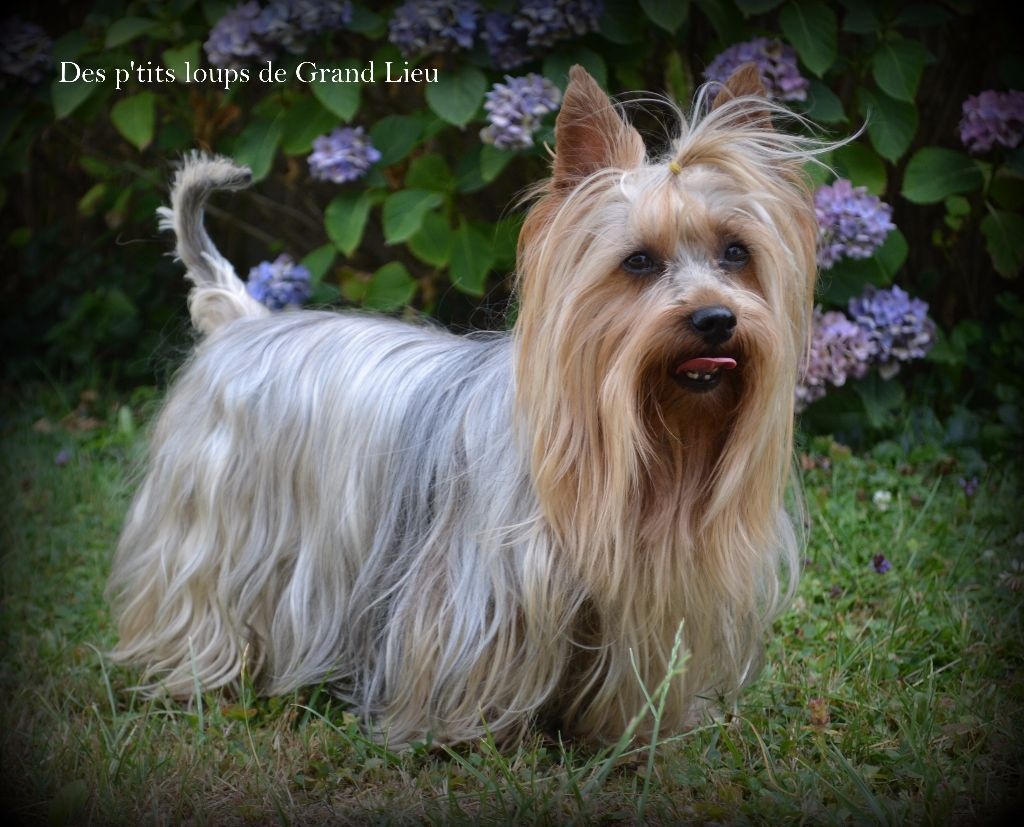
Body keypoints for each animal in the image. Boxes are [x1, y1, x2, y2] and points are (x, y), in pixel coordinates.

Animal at [108, 64, 819, 745]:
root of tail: (242, 319)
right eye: (638, 261)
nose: (715, 319)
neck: (642, 436)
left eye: (736, 252)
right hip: (211, 524)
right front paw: (460, 736)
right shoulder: (471, 594)